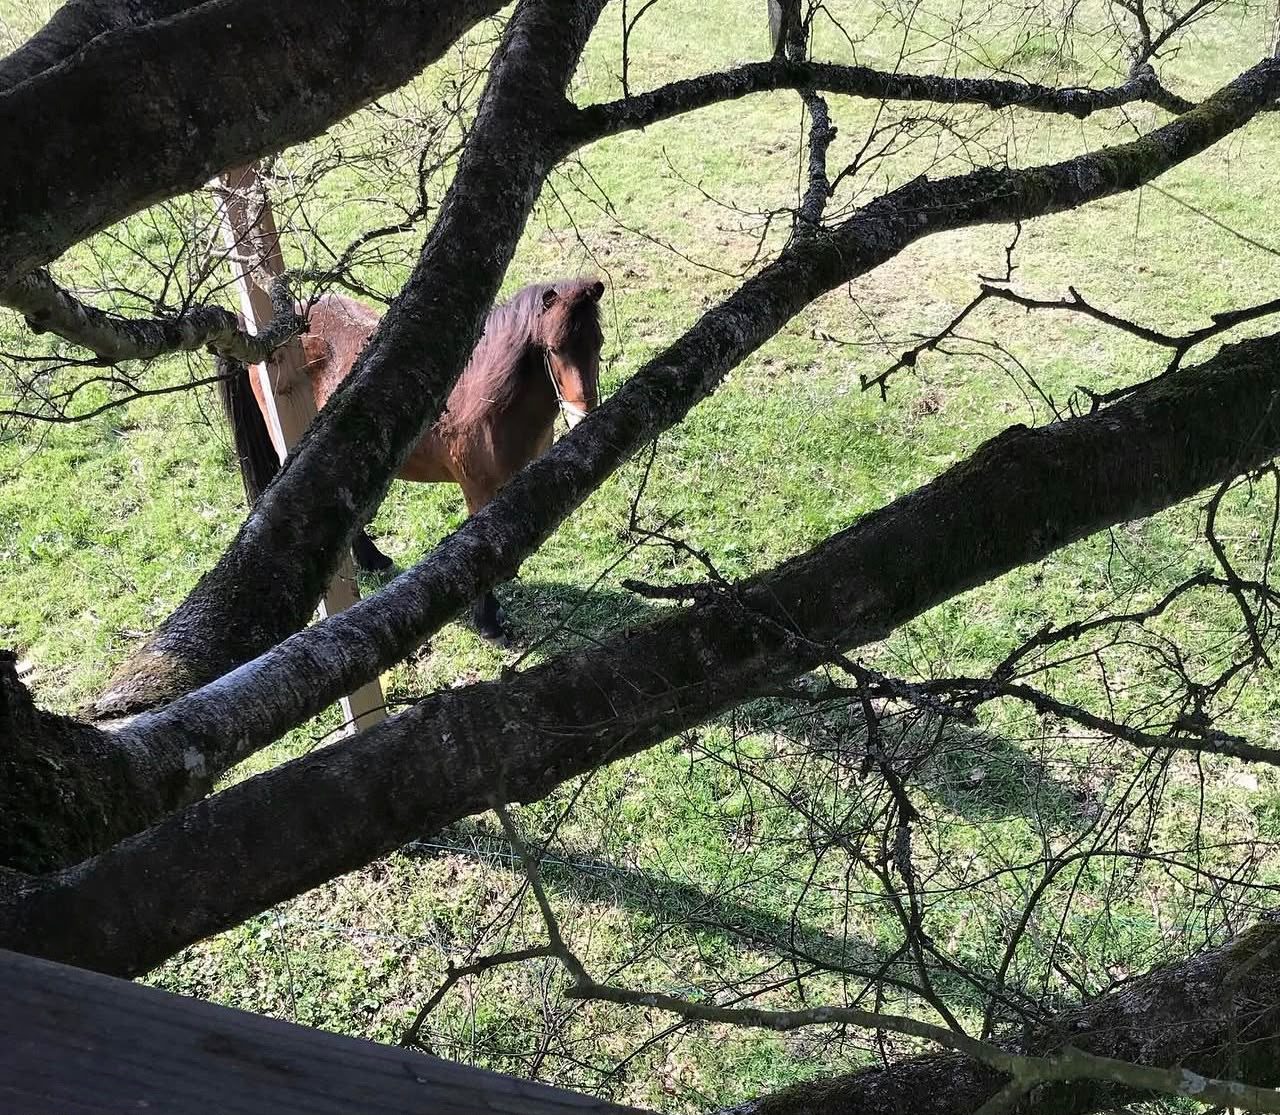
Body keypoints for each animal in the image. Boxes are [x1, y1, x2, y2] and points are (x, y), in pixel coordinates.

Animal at [218, 277, 605, 641]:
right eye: (553, 349)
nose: (584, 416)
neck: (489, 402)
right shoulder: (478, 493)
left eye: (598, 343)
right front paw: (489, 622)